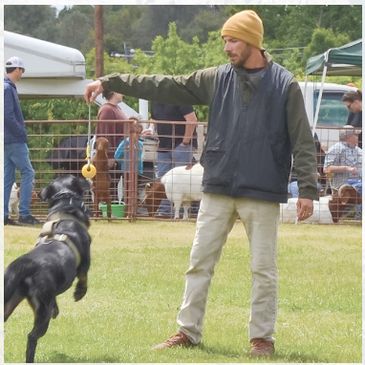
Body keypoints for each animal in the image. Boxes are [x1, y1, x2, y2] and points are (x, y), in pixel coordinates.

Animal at [4, 174, 91, 362]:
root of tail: (24, 264)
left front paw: (57, 308)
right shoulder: (86, 258)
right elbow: (83, 277)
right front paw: (79, 293)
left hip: (10, 299)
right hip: (42, 310)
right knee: (32, 337)